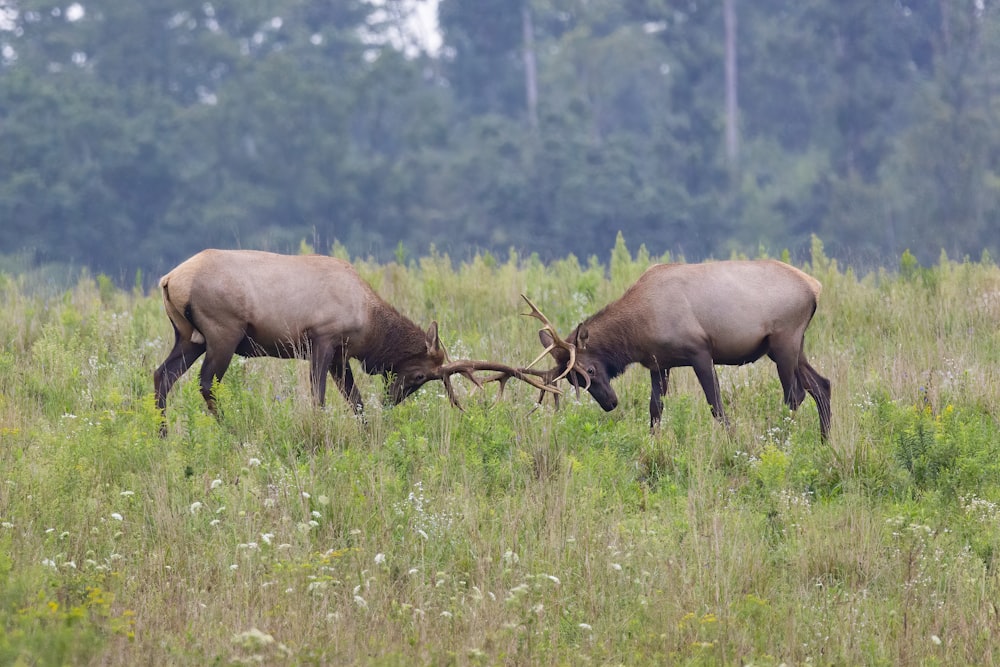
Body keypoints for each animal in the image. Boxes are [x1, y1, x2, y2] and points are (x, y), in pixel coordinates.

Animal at [154, 249, 556, 434]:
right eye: (420, 375)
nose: (391, 401)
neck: (369, 326)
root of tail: (169, 279)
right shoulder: (322, 338)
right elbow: (319, 398)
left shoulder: (339, 355)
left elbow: (355, 400)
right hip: (223, 332)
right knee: (207, 383)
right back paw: (231, 429)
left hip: (189, 337)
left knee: (162, 375)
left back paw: (161, 434)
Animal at [520, 260, 832, 438]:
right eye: (571, 379)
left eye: (590, 369)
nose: (610, 403)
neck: (637, 331)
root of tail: (815, 287)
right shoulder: (658, 363)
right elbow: (655, 409)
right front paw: (652, 443)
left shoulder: (700, 351)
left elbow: (716, 405)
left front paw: (732, 441)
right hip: (791, 345)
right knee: (822, 384)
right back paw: (824, 441)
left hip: (784, 340)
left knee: (795, 394)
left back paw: (783, 439)